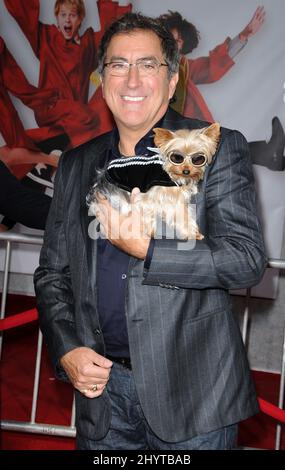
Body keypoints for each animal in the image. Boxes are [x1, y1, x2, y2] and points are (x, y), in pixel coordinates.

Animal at [86, 123, 220, 241]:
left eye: (198, 158)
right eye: (176, 157)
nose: (186, 171)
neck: (170, 174)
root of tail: (100, 180)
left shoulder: (177, 201)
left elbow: (183, 215)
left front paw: (193, 233)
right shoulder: (149, 197)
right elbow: (151, 212)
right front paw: (149, 231)